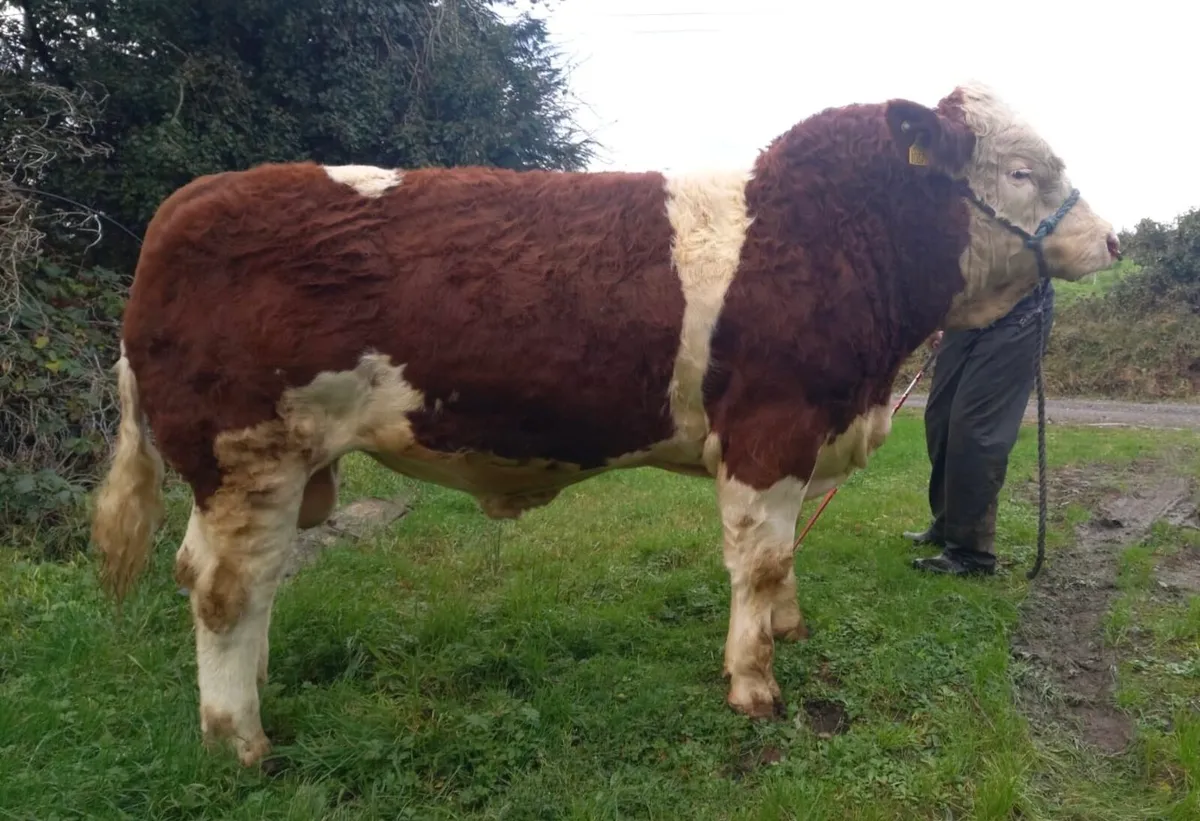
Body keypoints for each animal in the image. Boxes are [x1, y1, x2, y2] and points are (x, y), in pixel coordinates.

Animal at [90, 81, 1120, 767]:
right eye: (1023, 170)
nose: (1113, 239)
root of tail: (186, 202)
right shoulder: (769, 429)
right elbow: (761, 558)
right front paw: (754, 682)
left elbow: (787, 557)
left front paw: (787, 631)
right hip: (247, 454)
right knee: (226, 587)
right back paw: (241, 738)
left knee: (239, 581)